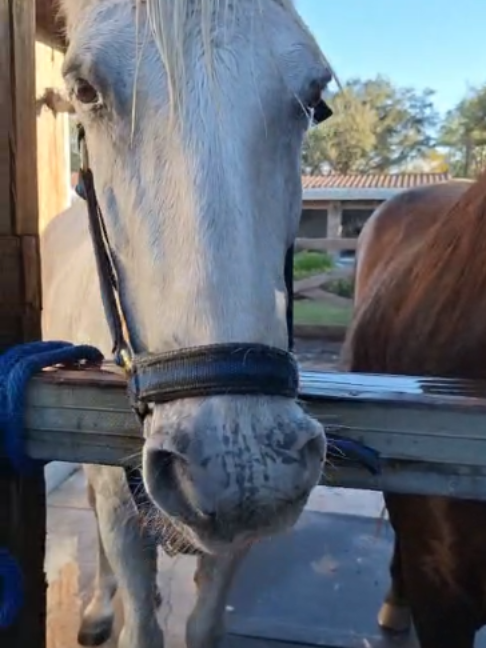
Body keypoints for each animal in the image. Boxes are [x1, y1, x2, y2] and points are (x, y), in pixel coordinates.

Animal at [40, 1, 334, 647]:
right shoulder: (117, 502)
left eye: (315, 96)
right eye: (84, 89)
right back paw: (97, 609)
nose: (242, 469)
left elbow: (202, 624)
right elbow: (139, 619)